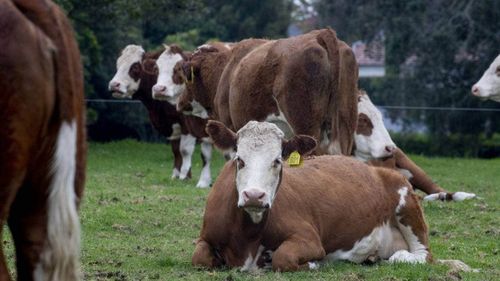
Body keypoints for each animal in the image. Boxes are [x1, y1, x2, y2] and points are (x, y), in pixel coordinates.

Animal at [108, 44, 212, 187]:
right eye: (118, 65)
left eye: (135, 67)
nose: (114, 85)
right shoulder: (173, 126)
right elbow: (176, 150)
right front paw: (176, 174)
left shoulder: (187, 124)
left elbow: (185, 149)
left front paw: (185, 175)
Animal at [191, 120, 434, 272]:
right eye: (239, 159)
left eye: (277, 161)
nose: (254, 196)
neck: (247, 237)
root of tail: (376, 169)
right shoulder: (206, 236)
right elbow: (199, 258)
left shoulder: (310, 240)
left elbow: (283, 258)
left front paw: (314, 264)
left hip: (406, 202)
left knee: (421, 255)